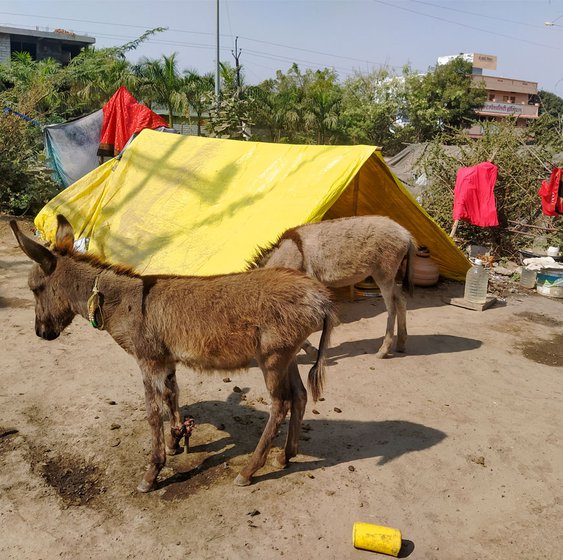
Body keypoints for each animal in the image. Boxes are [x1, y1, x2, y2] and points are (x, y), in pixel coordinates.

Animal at [12, 217, 334, 492]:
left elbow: (153, 414)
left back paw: (249, 470)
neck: (122, 303)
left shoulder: (148, 361)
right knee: (299, 395)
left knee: (281, 404)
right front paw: (175, 441)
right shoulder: (165, 362)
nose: (41, 333)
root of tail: (320, 295)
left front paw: (152, 472)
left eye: (36, 288)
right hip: (287, 356)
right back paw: (285, 456)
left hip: (271, 358)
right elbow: (172, 398)